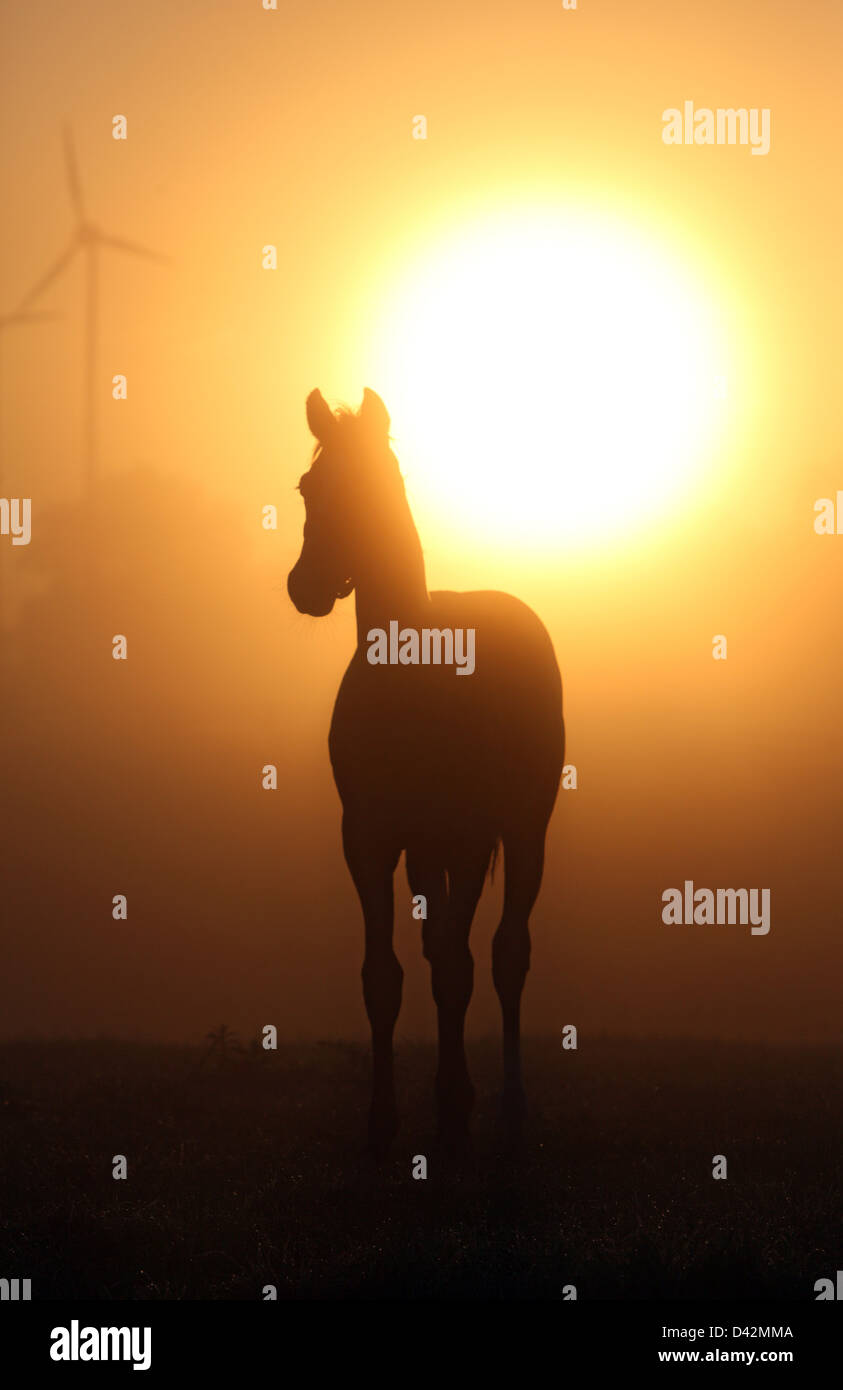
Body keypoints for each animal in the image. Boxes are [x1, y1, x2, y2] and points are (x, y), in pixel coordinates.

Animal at [287, 389, 564, 1150]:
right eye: (308, 488)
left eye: (372, 486)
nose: (305, 587)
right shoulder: (370, 840)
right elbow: (385, 975)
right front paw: (384, 1118)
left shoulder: (469, 837)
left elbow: (463, 966)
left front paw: (457, 1103)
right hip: (426, 852)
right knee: (442, 948)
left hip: (520, 833)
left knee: (503, 955)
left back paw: (505, 1104)